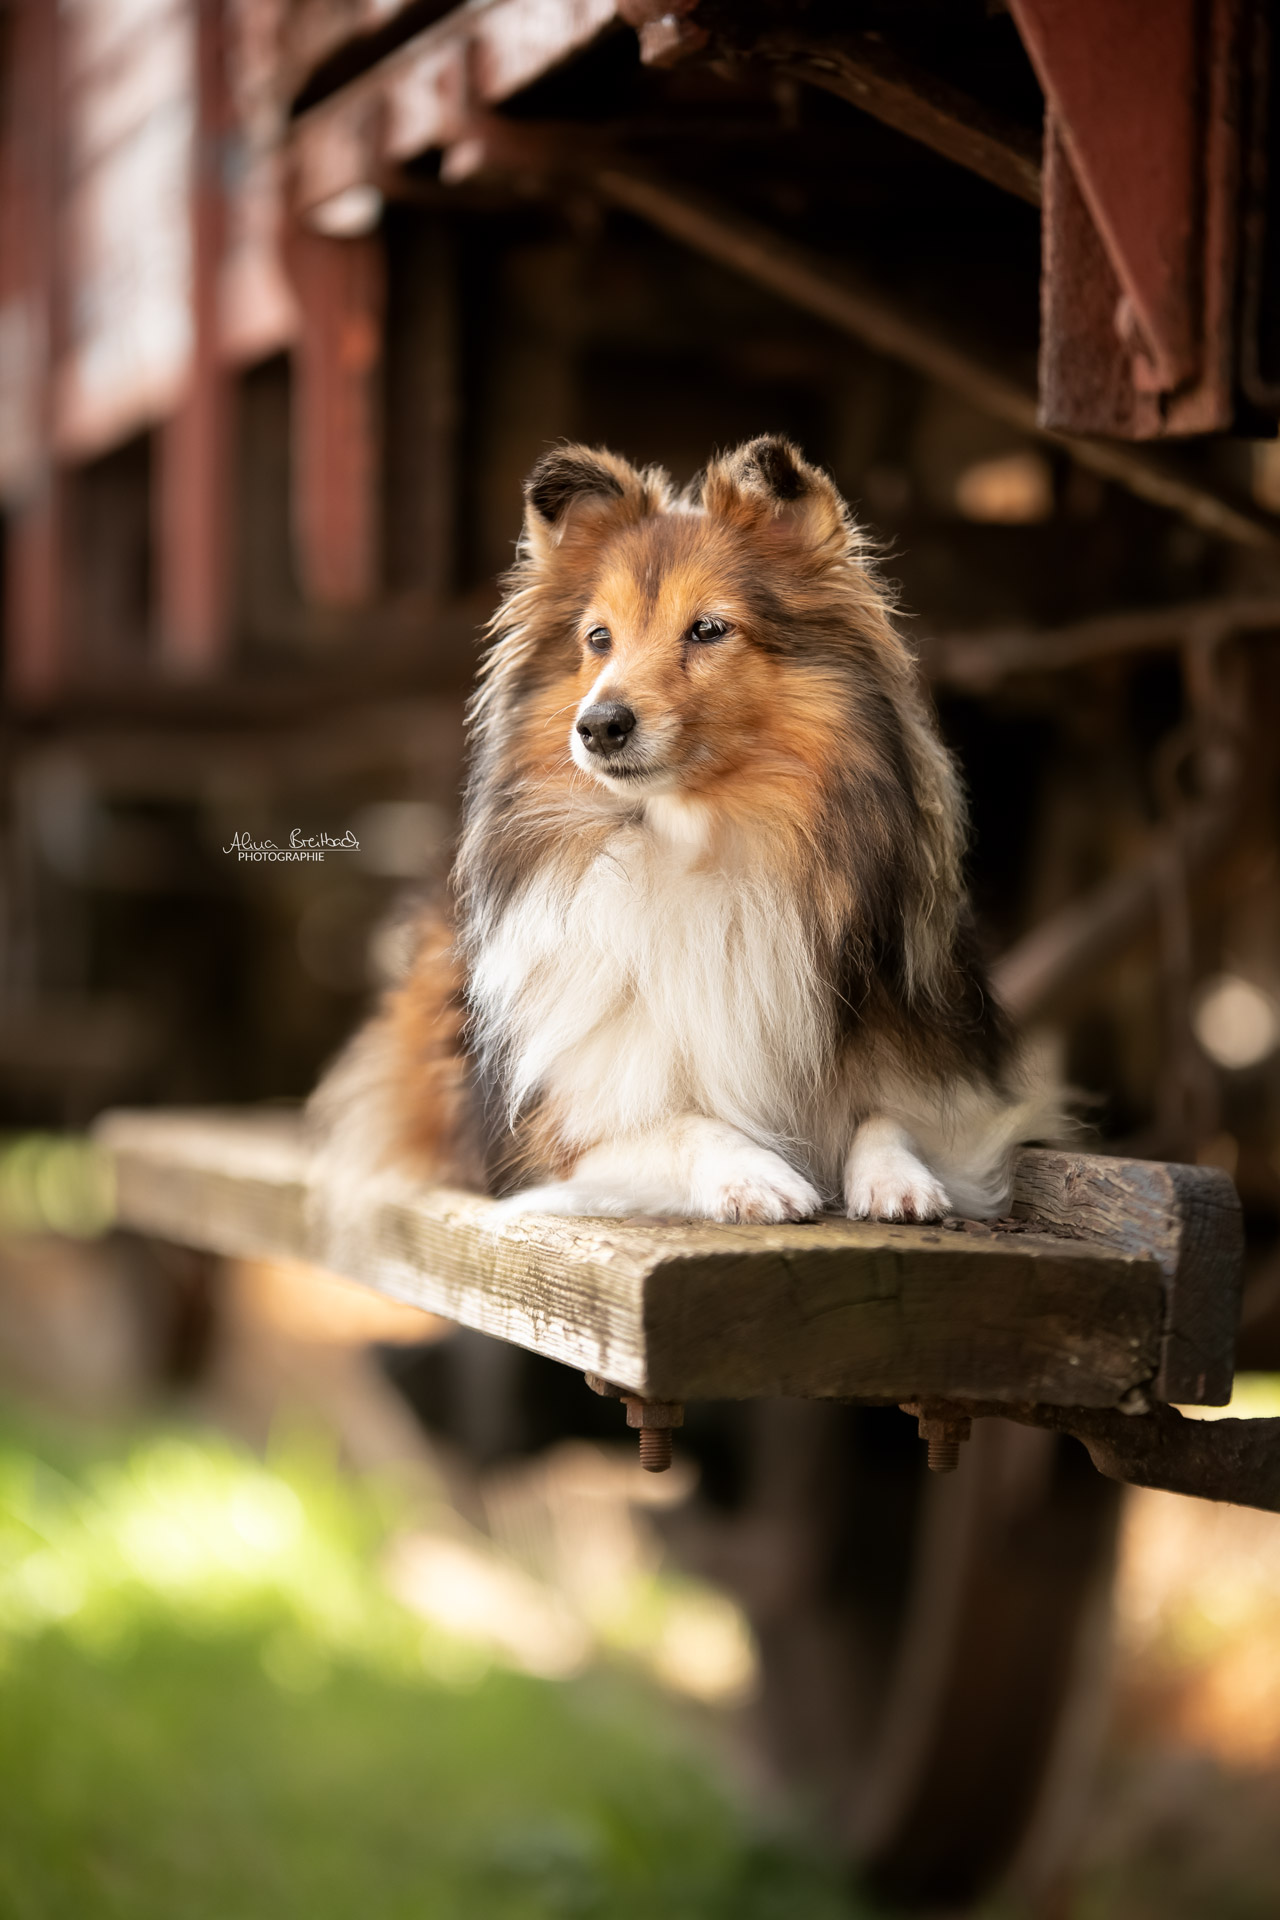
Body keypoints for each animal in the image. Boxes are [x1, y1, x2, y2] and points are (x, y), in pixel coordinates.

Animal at [318, 435, 1059, 1221]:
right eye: (598, 638)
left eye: (707, 629)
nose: (597, 726)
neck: (701, 847)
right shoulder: (548, 1133)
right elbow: (681, 1124)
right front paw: (756, 1173)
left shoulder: (950, 1082)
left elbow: (893, 1116)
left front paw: (898, 1178)